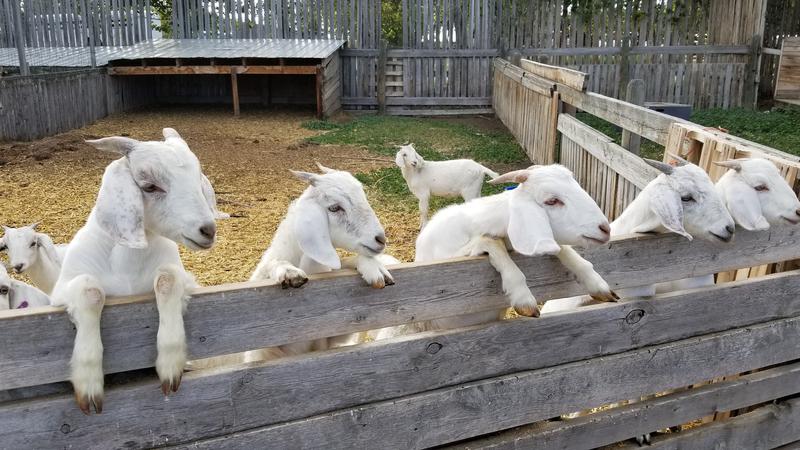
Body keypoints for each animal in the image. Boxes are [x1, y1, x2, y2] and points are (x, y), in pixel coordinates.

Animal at [50, 128, 227, 414]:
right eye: (150, 186)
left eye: (197, 177)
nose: (207, 230)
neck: (127, 268)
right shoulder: (60, 292)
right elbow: (90, 291)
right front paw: (88, 384)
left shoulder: (181, 276)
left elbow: (167, 280)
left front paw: (170, 366)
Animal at [250, 163, 396, 356]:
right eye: (334, 208)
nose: (381, 239)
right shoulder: (260, 352)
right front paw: (289, 273)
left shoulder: (332, 336)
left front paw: (375, 269)